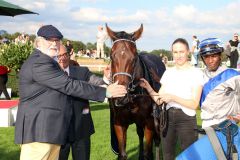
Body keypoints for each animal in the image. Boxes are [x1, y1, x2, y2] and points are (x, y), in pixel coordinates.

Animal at [106, 24, 165, 160]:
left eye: (134, 58)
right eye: (111, 56)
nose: (120, 97)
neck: (132, 98)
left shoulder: (149, 122)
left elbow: (148, 152)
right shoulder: (119, 122)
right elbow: (122, 154)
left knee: (157, 140)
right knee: (139, 133)